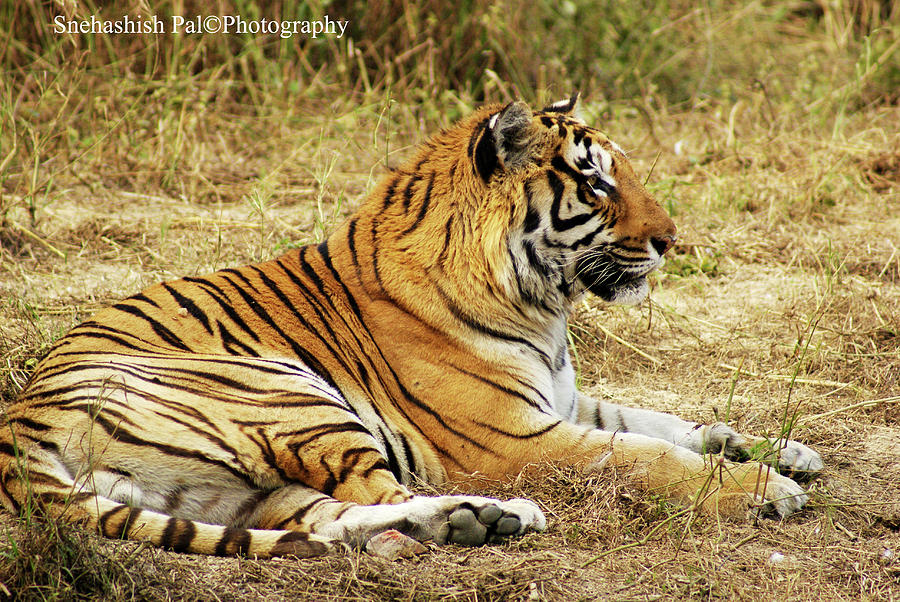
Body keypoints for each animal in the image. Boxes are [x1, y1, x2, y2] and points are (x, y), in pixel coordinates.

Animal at [0, 95, 824, 556]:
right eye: (594, 181)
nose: (672, 240)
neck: (542, 305)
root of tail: (19, 426)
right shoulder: (513, 438)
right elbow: (647, 455)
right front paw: (767, 487)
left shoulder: (563, 400)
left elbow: (672, 423)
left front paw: (787, 451)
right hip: (285, 389)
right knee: (379, 494)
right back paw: (502, 514)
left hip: (228, 491)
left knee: (335, 520)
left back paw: (474, 524)